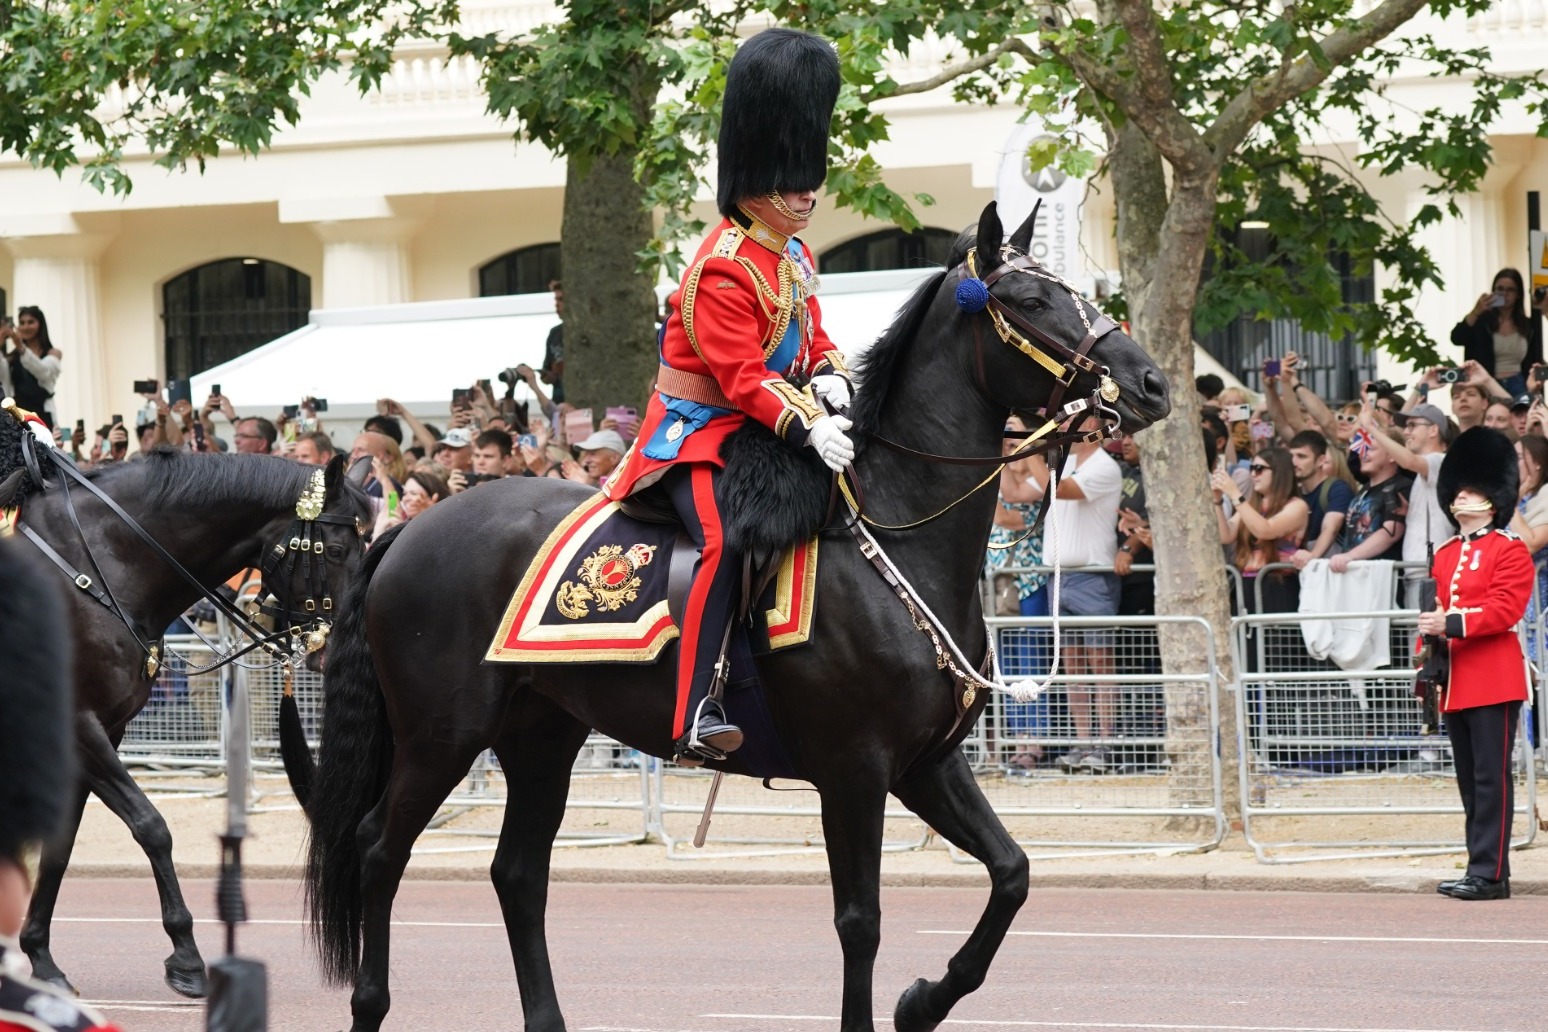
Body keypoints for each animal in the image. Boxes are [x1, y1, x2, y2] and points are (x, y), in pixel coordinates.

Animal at [0, 439, 368, 1002]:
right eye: (336, 550)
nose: (342, 644)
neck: (95, 567)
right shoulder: (80, 726)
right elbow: (151, 827)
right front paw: (187, 956)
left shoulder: (103, 731)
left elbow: (59, 848)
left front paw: (40, 956)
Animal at [295, 201, 1170, 1032]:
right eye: (1030, 300)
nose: (1153, 383)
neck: (897, 532)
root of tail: (409, 529)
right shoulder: (855, 769)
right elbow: (861, 921)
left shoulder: (926, 763)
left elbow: (1012, 874)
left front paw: (924, 1000)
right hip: (442, 735)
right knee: (379, 850)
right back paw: (368, 1004)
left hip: (541, 734)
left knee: (516, 873)